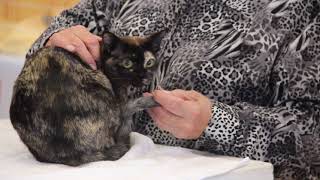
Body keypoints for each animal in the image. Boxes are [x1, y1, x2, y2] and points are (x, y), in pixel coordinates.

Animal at [9, 32, 162, 166]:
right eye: (127, 63)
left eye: (149, 62)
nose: (144, 77)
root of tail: (68, 153)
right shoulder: (121, 103)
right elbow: (134, 104)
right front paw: (152, 100)